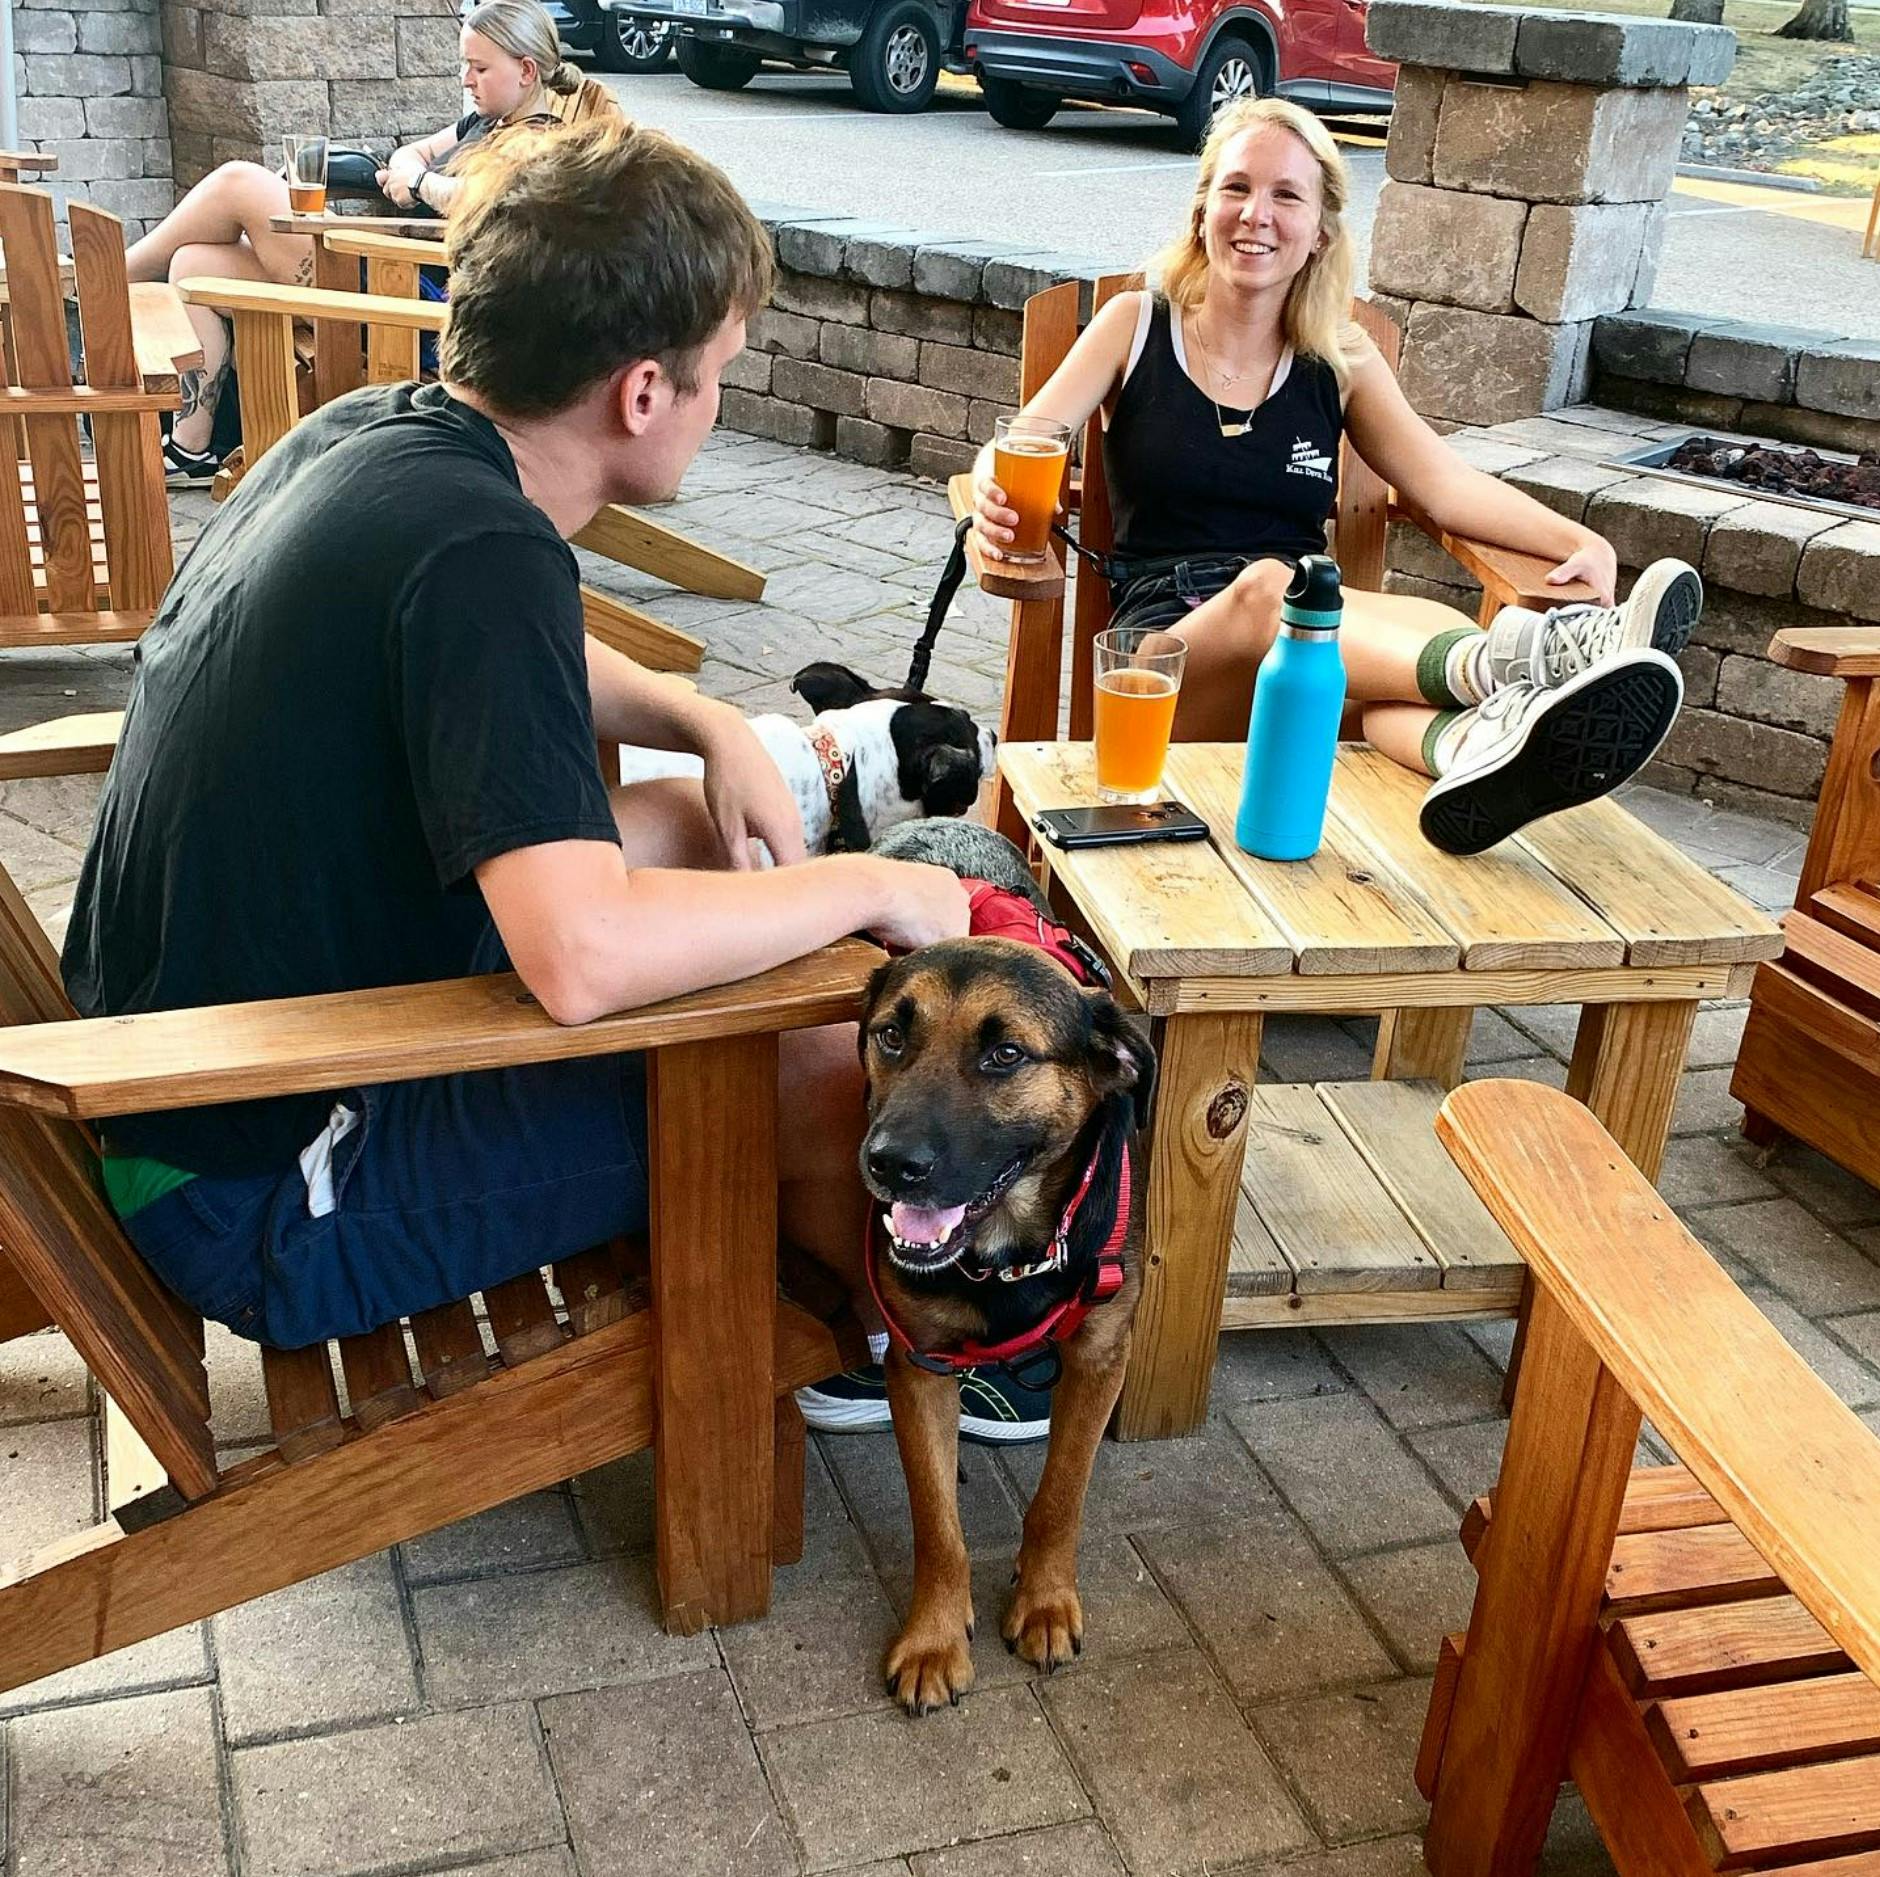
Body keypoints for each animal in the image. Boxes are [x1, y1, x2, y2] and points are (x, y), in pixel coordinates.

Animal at [857, 940, 1150, 1722]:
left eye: (1007, 1054)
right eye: (891, 1035)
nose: (889, 1164)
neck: (1006, 1252)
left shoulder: (1099, 1356)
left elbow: (1061, 1496)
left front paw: (1045, 1602)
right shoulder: (918, 1362)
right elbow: (937, 1523)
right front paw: (933, 1639)